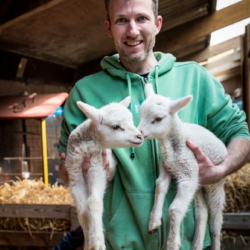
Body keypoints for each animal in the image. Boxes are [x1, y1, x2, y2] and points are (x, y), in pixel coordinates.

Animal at [65, 97, 144, 250]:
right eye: (115, 126)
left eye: (131, 121)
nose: (140, 136)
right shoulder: (75, 177)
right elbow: (83, 212)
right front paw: (88, 242)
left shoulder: (98, 169)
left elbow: (93, 202)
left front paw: (97, 242)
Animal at [138, 84, 228, 250]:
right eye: (140, 114)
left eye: (158, 119)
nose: (139, 133)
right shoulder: (167, 168)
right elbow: (159, 187)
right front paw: (154, 222)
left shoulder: (188, 174)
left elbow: (174, 209)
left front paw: (172, 243)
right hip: (197, 184)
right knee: (202, 212)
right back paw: (197, 244)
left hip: (215, 183)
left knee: (215, 221)